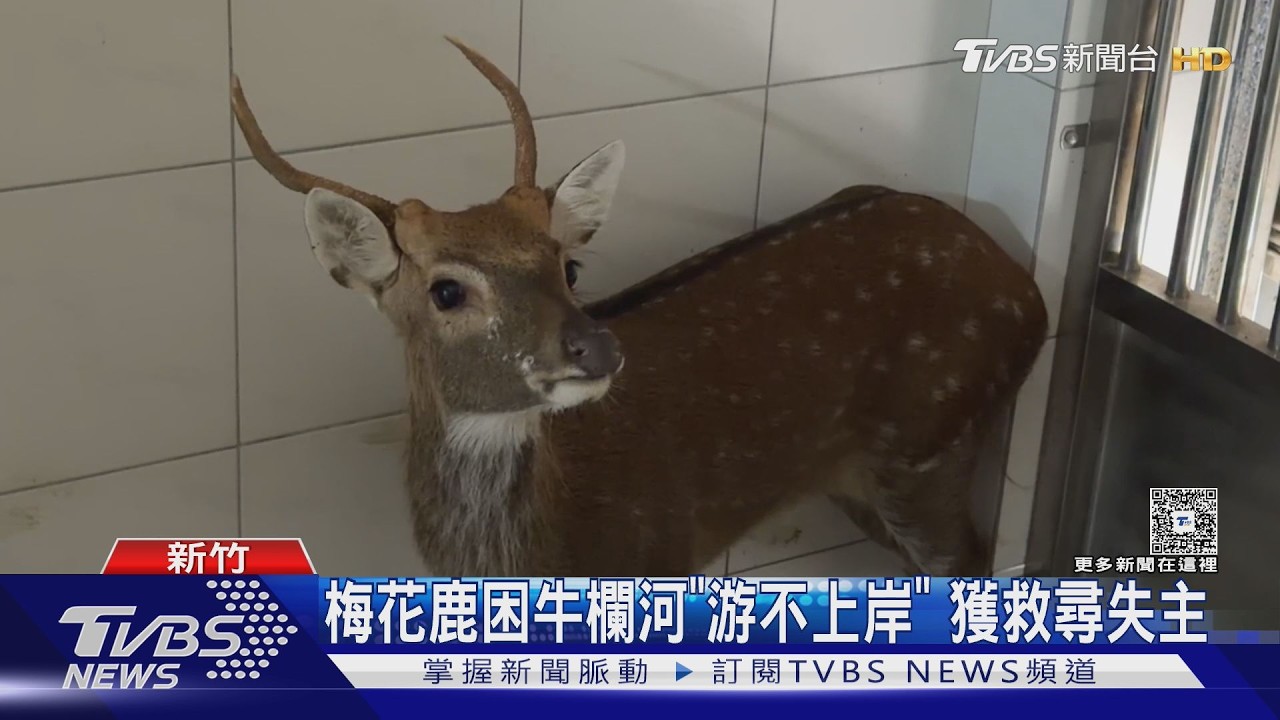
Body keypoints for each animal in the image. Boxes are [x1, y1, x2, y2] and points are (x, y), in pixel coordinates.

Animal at [230, 35, 1048, 579]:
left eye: (568, 264)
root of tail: (1026, 289)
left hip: (932, 442)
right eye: (447, 289)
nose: (596, 347)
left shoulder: (664, 553)